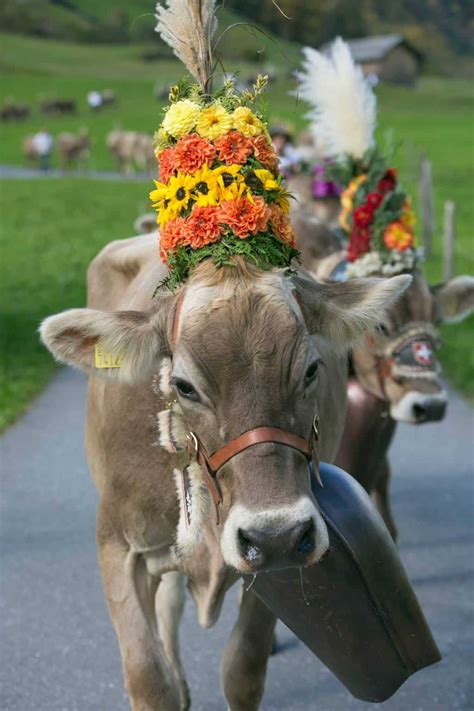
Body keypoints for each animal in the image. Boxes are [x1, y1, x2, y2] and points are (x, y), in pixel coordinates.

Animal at [39, 231, 412, 708]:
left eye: (312, 370)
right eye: (183, 386)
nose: (275, 534)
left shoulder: (279, 566)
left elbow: (243, 669)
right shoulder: (117, 542)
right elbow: (148, 676)